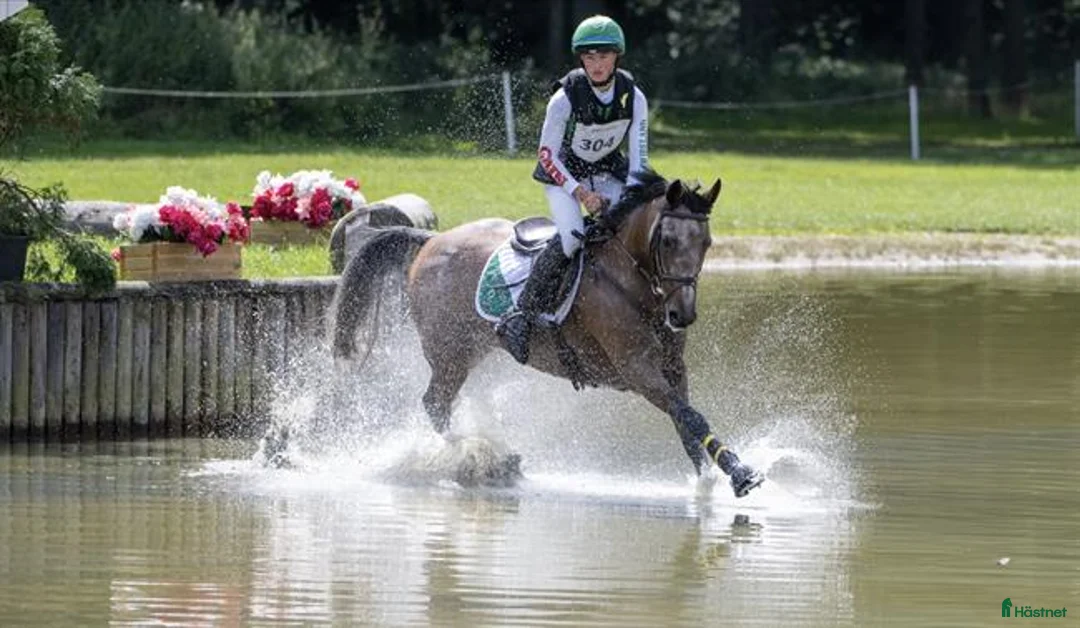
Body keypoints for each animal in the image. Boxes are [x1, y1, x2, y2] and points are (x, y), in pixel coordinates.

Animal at [328, 171, 764, 497]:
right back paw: (477, 456)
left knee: (449, 401)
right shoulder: (637, 369)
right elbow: (690, 416)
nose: (683, 314)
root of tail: (431, 241)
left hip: (477, 351)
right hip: (450, 353)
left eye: (706, 243)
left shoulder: (673, 368)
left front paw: (708, 480)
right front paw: (740, 473)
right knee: (435, 403)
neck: (632, 281)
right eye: (669, 240)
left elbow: (686, 420)